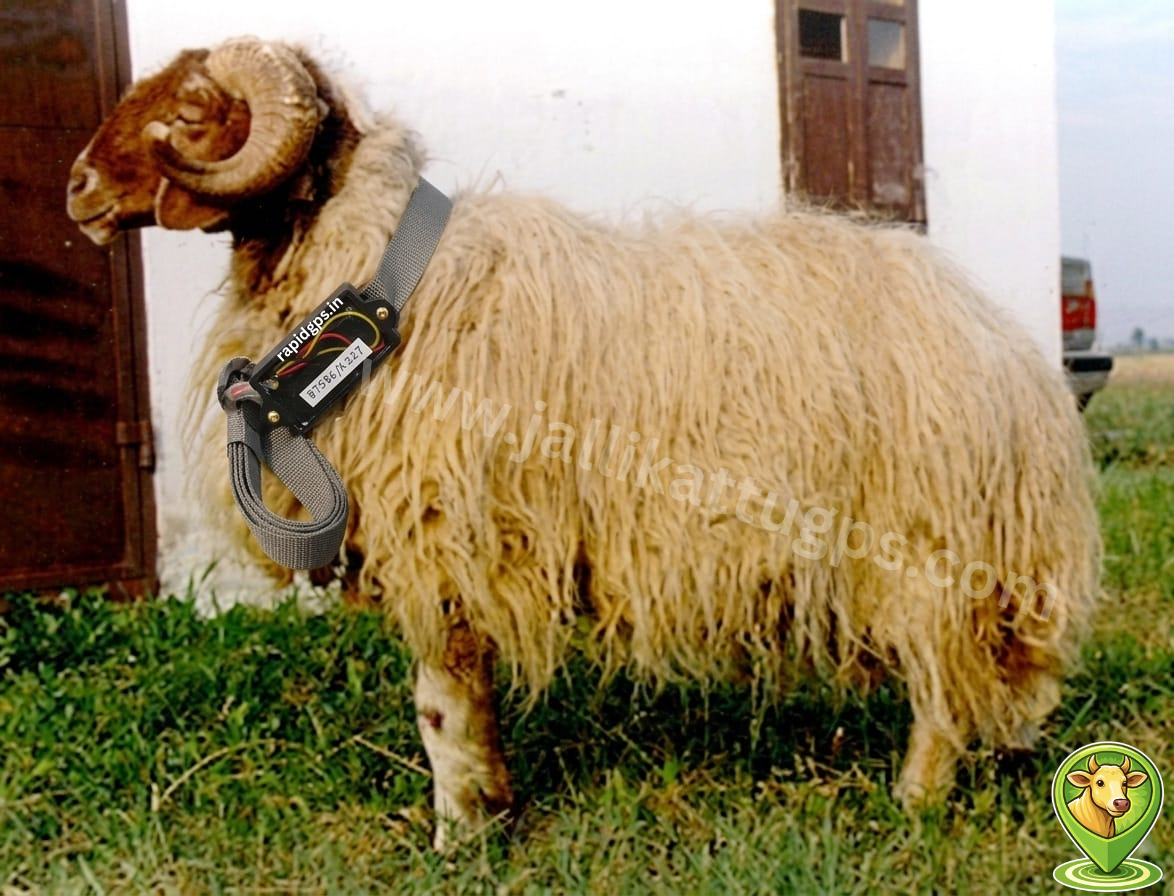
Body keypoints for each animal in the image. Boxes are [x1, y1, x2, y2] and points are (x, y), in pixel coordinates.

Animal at [67, 36, 1101, 847]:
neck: (374, 275)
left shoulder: (440, 534)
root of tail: (1010, 350)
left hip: (924, 546)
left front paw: (460, 833)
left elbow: (442, 701)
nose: (77, 187)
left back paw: (914, 802)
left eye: (191, 111)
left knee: (943, 693)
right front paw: (492, 808)